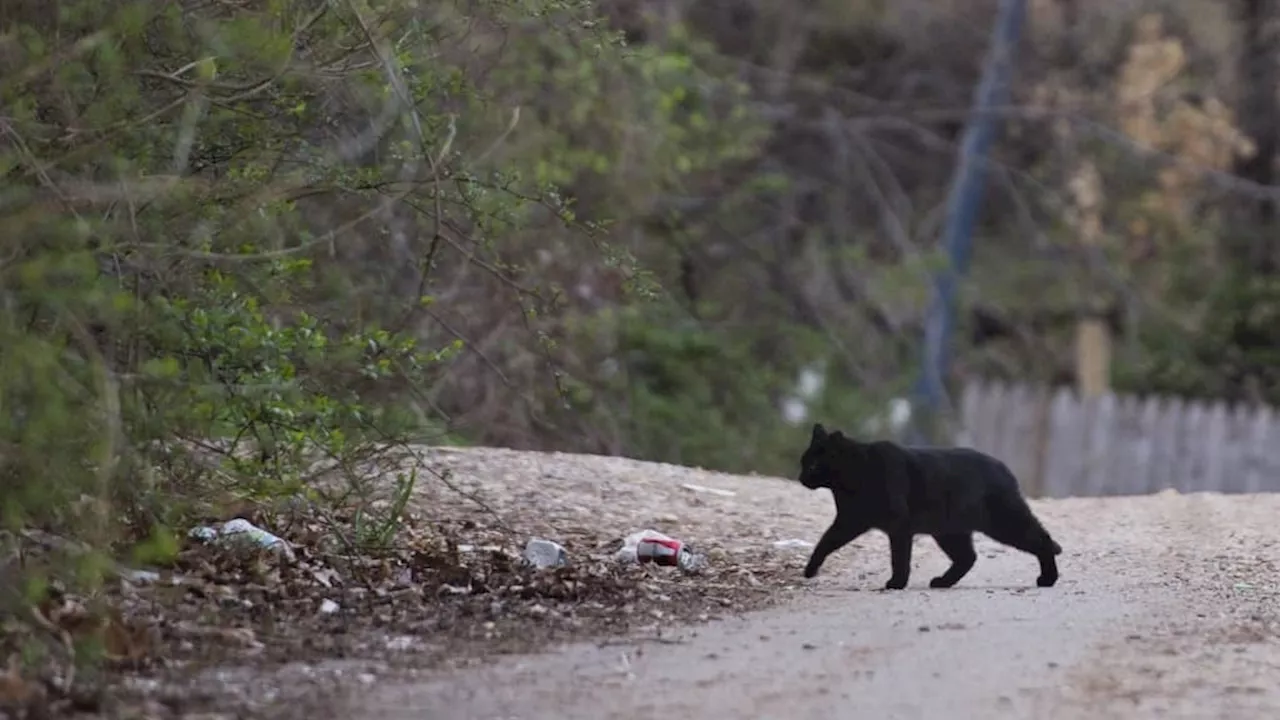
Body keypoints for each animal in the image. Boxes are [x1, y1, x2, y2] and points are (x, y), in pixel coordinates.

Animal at [798, 422, 1059, 586]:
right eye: (803, 462)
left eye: (813, 465)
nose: (801, 477)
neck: (856, 473)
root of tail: (1004, 468)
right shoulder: (849, 521)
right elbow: (825, 541)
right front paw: (810, 570)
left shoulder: (898, 525)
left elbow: (899, 556)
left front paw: (897, 583)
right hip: (949, 531)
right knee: (968, 557)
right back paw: (942, 582)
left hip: (1004, 522)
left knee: (1042, 540)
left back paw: (1048, 579)